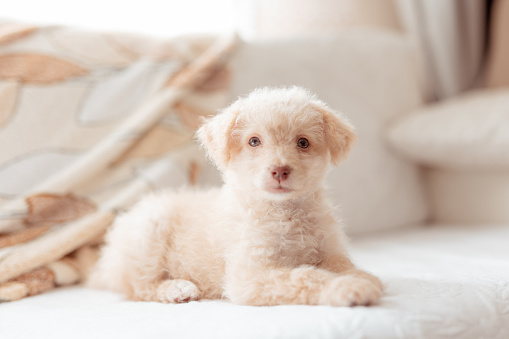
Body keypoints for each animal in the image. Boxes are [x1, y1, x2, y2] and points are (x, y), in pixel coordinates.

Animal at [88, 86, 380, 306]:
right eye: (254, 141)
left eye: (303, 142)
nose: (280, 170)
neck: (286, 211)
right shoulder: (249, 275)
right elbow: (306, 277)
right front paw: (348, 288)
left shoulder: (330, 249)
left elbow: (343, 265)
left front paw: (362, 277)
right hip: (149, 229)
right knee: (138, 287)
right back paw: (177, 288)